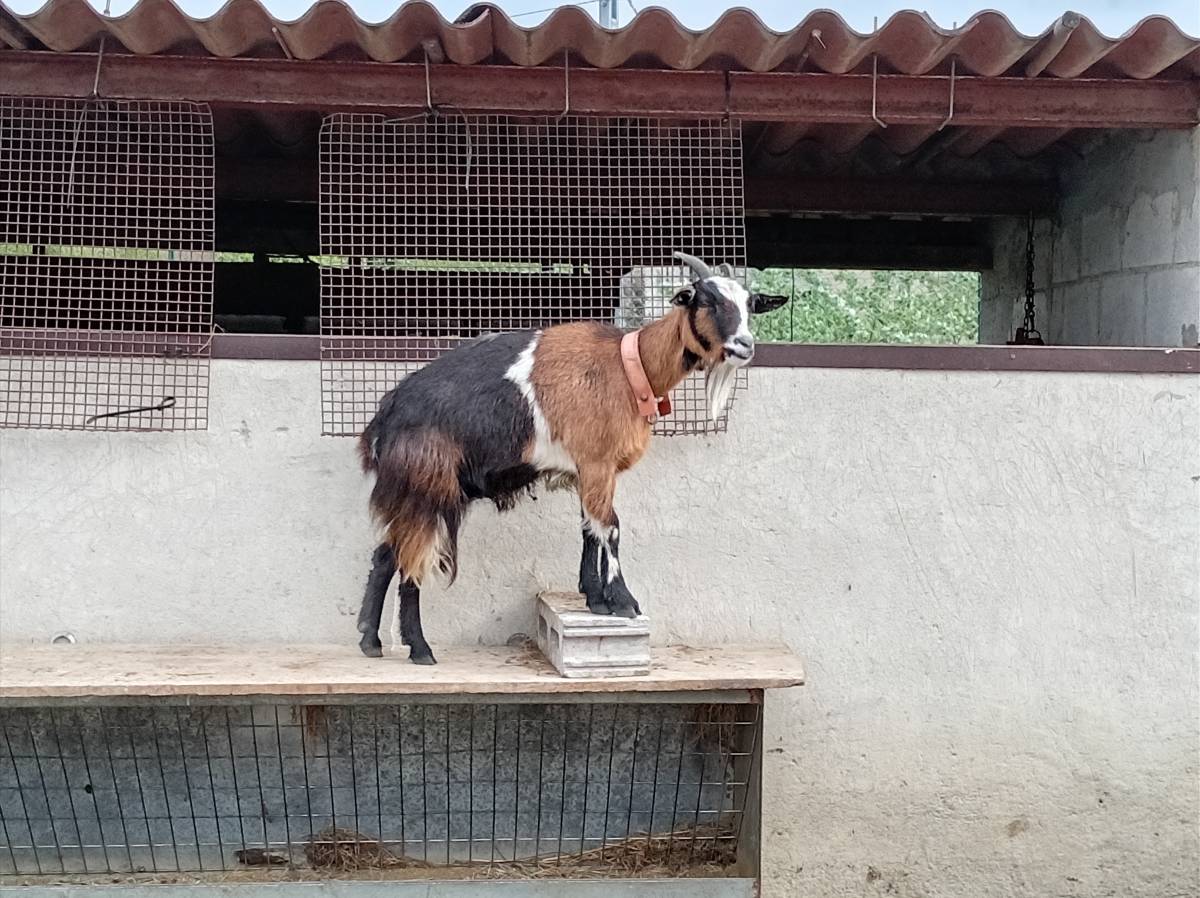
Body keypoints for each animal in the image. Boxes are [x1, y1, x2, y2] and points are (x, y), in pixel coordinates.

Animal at [355, 252, 788, 662]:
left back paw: (370, 640)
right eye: (707, 300)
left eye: (751, 304)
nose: (745, 346)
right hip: (428, 486)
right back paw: (419, 649)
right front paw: (623, 602)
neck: (630, 367)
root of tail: (383, 419)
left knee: (386, 555)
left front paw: (595, 599)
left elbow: (589, 527)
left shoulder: (589, 468)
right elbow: (611, 527)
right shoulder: (597, 463)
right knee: (411, 563)